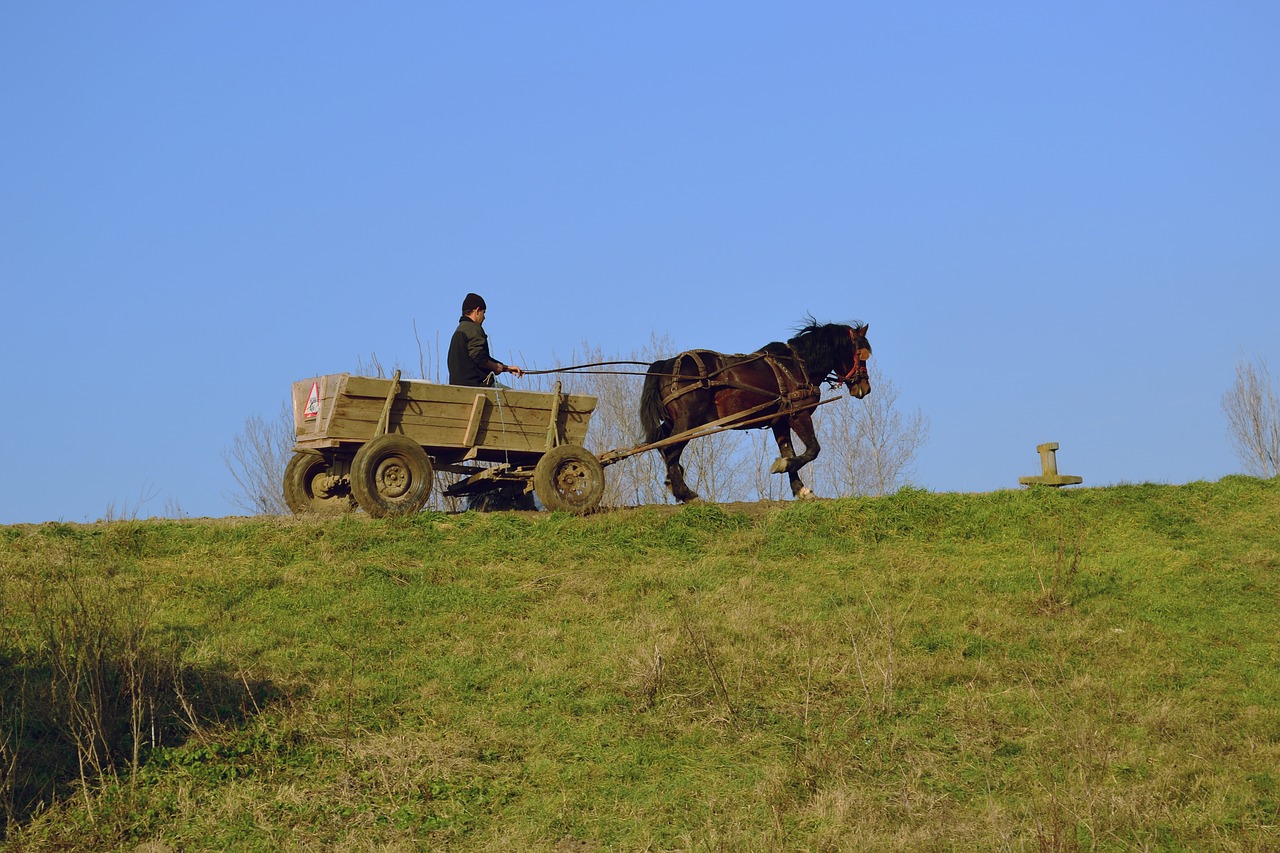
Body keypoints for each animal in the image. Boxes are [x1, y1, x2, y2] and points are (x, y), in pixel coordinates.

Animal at [640, 322, 870, 502]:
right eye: (861, 355)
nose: (865, 388)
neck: (798, 366)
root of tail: (666, 364)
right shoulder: (799, 414)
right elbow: (812, 449)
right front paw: (782, 466)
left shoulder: (781, 421)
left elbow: (789, 451)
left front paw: (800, 489)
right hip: (688, 420)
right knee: (670, 448)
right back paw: (686, 493)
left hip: (675, 421)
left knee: (662, 445)